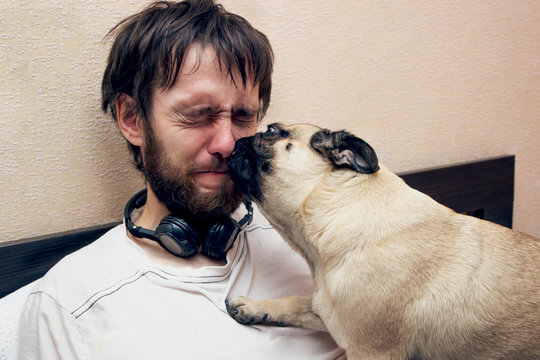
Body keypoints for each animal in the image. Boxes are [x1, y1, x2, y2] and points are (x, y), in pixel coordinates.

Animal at [225, 123, 540, 360]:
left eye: (271, 131)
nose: (237, 141)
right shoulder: (327, 312)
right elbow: (294, 301)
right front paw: (254, 307)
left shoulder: (370, 351)